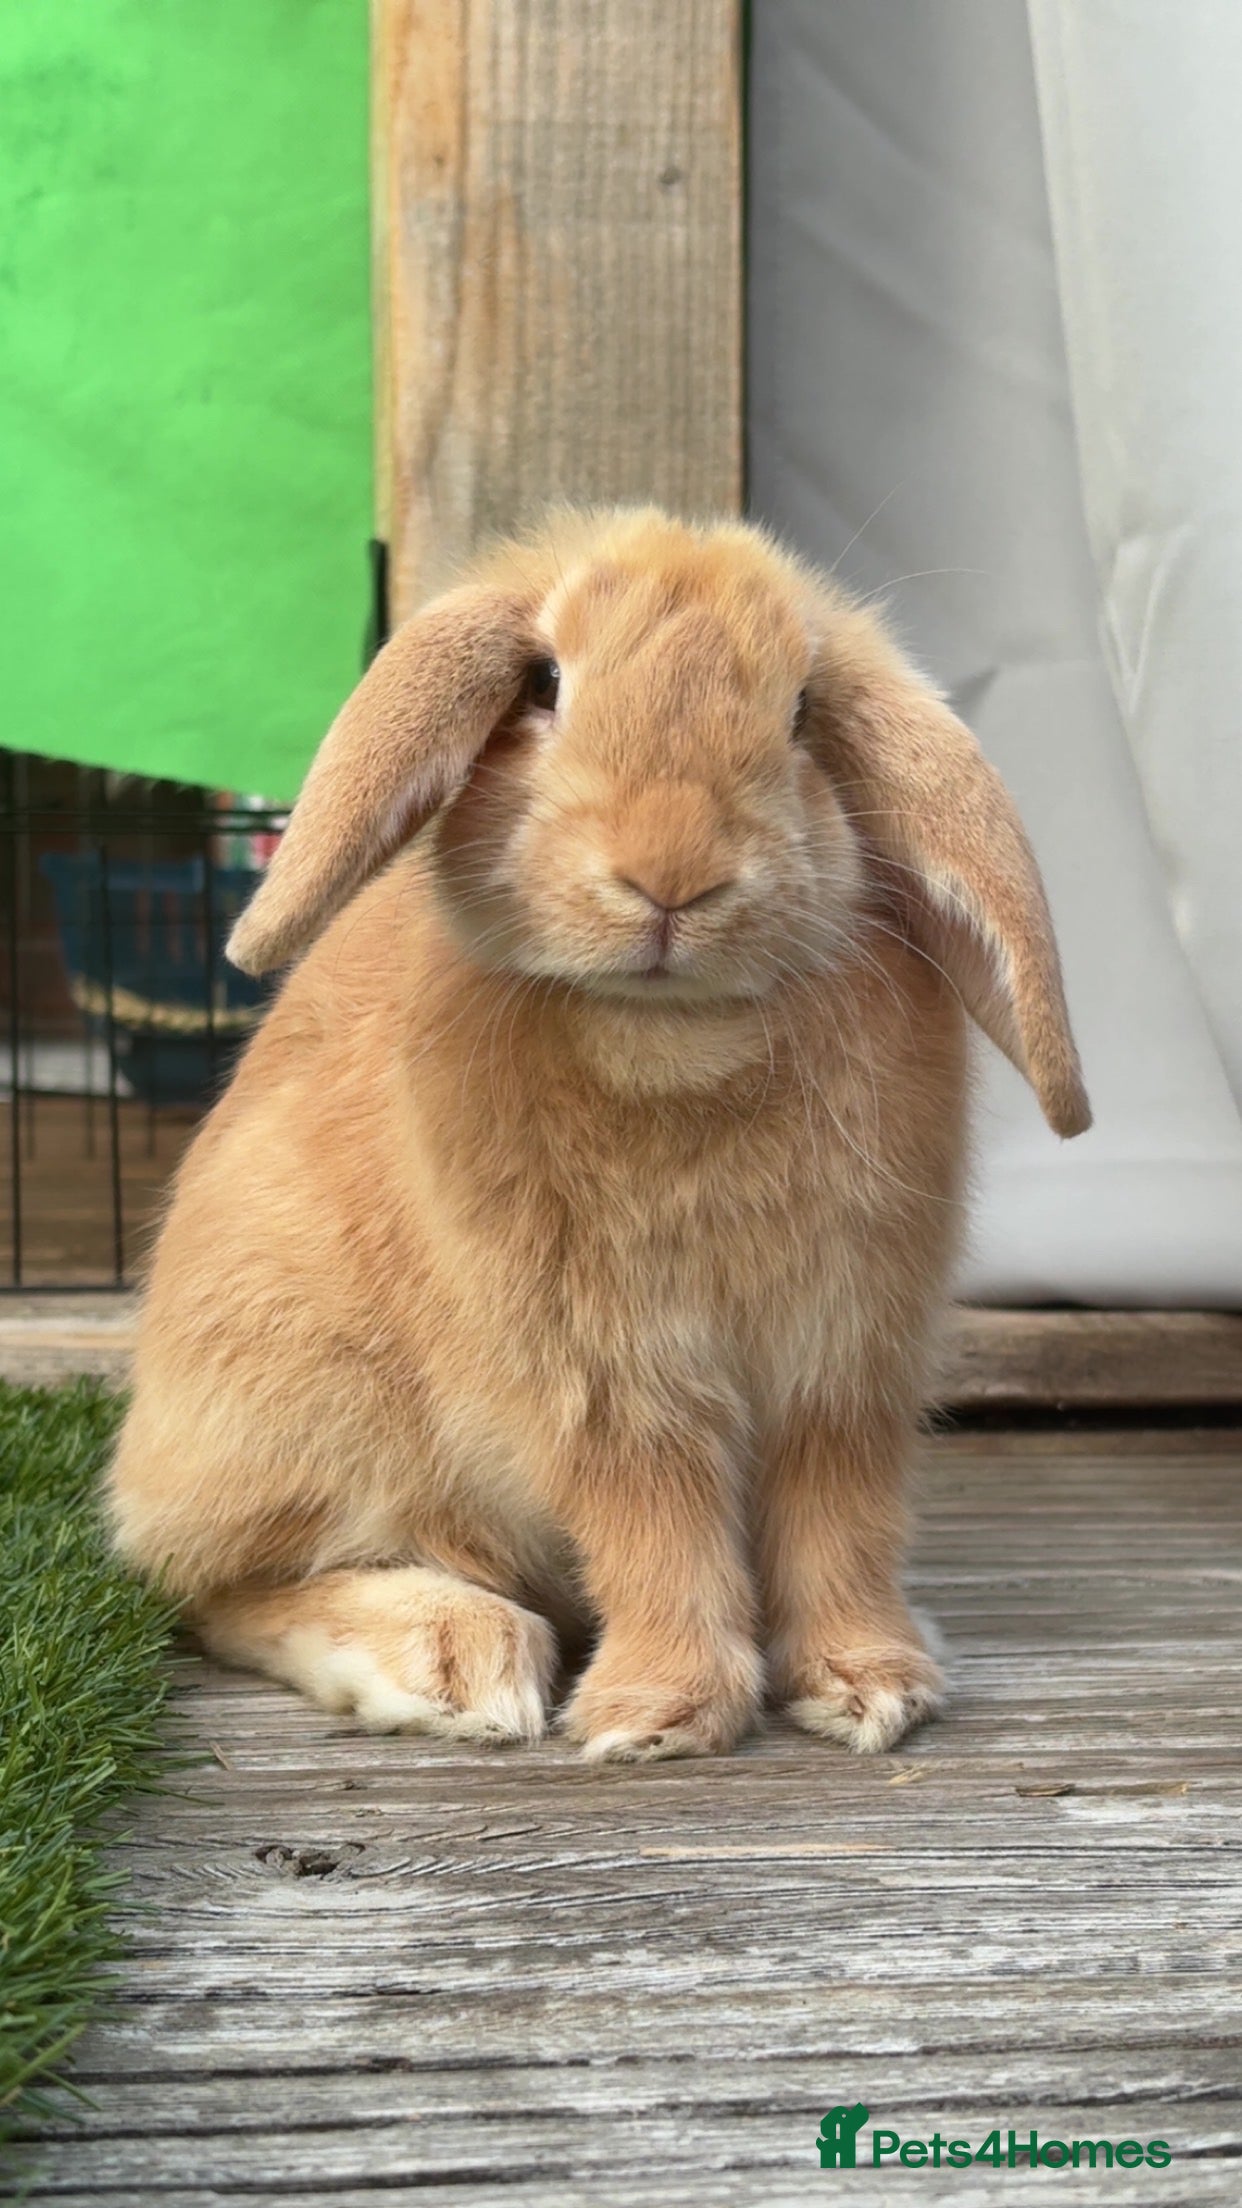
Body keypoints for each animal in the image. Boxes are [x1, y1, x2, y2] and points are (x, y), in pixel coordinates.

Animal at [107, 505, 1090, 1762]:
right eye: (545, 685)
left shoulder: (846, 1358)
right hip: (293, 1386)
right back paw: (449, 1661)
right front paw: (659, 1719)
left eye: (801, 714)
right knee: (218, 1586)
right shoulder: (604, 1371)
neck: (677, 1038)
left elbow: (841, 1517)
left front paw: (872, 1686)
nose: (671, 874)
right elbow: (655, 1521)